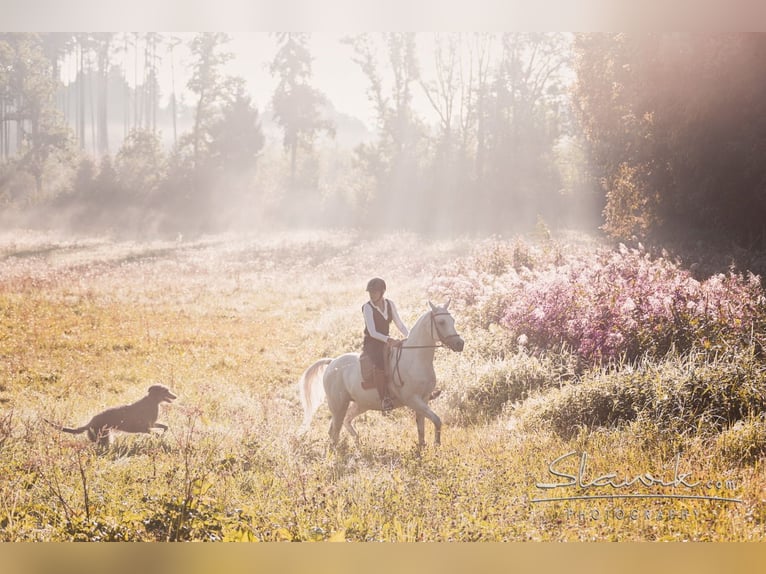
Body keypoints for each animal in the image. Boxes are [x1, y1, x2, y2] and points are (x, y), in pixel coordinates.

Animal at [47, 384, 180, 448]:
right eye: (166, 391)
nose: (175, 396)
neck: (152, 401)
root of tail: (89, 423)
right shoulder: (143, 428)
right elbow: (155, 432)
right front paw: (159, 436)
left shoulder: (150, 424)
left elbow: (165, 426)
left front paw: (163, 433)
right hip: (103, 437)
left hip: (104, 436)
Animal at [298, 302, 464, 450]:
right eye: (441, 322)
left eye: (453, 320)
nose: (460, 344)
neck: (416, 358)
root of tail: (332, 362)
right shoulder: (413, 400)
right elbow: (436, 420)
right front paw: (437, 445)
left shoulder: (423, 399)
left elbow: (421, 427)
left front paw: (423, 448)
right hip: (338, 405)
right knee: (335, 430)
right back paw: (336, 452)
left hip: (361, 404)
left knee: (344, 421)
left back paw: (358, 442)